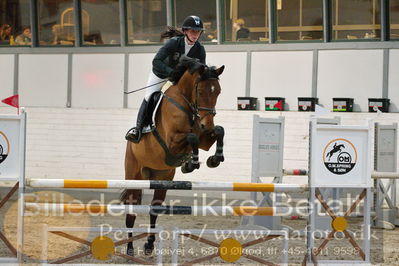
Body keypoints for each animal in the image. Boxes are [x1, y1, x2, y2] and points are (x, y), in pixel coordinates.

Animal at [121, 57, 225, 258]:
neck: (188, 105)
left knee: (154, 210)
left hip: (162, 178)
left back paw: (149, 245)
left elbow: (219, 131)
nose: (206, 123)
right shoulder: (171, 143)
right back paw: (129, 249)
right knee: (131, 211)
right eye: (200, 91)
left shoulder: (205, 139)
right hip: (133, 175)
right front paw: (191, 163)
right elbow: (191, 138)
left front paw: (214, 159)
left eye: (218, 91)